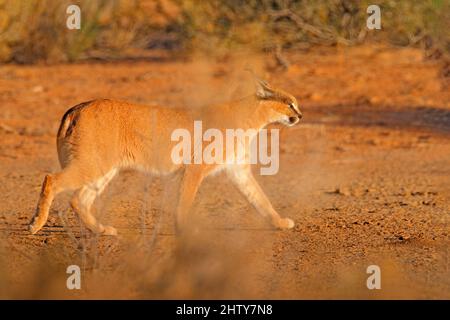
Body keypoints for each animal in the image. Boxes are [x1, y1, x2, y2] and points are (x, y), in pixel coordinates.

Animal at [28, 79, 302, 236]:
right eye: (290, 103)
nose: (300, 115)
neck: (251, 119)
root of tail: (78, 106)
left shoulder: (237, 170)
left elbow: (260, 199)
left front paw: (279, 223)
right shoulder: (195, 168)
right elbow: (185, 201)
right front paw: (185, 229)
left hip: (104, 169)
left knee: (78, 199)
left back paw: (102, 230)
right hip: (93, 164)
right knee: (51, 179)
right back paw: (36, 224)